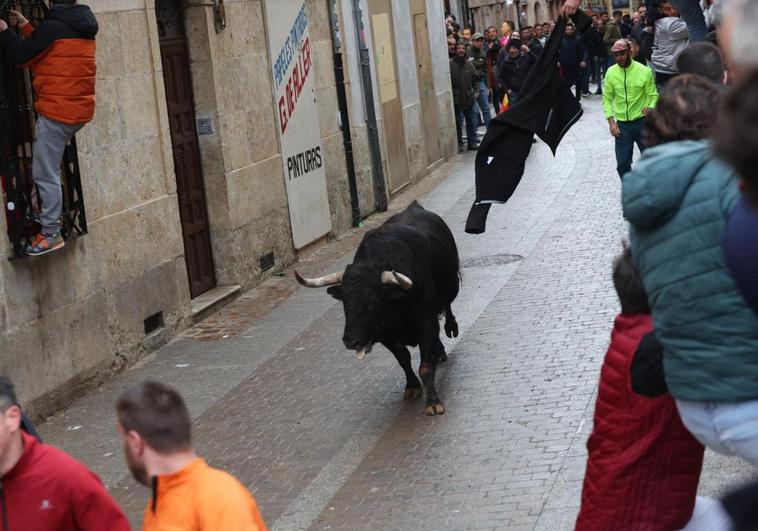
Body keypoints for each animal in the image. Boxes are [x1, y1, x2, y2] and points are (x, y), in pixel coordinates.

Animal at [296, 203, 464, 416]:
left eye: (373, 301)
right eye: (345, 302)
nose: (350, 341)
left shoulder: (426, 322)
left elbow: (425, 367)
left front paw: (433, 403)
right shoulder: (385, 335)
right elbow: (403, 358)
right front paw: (412, 387)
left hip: (451, 286)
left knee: (447, 307)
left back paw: (449, 331)